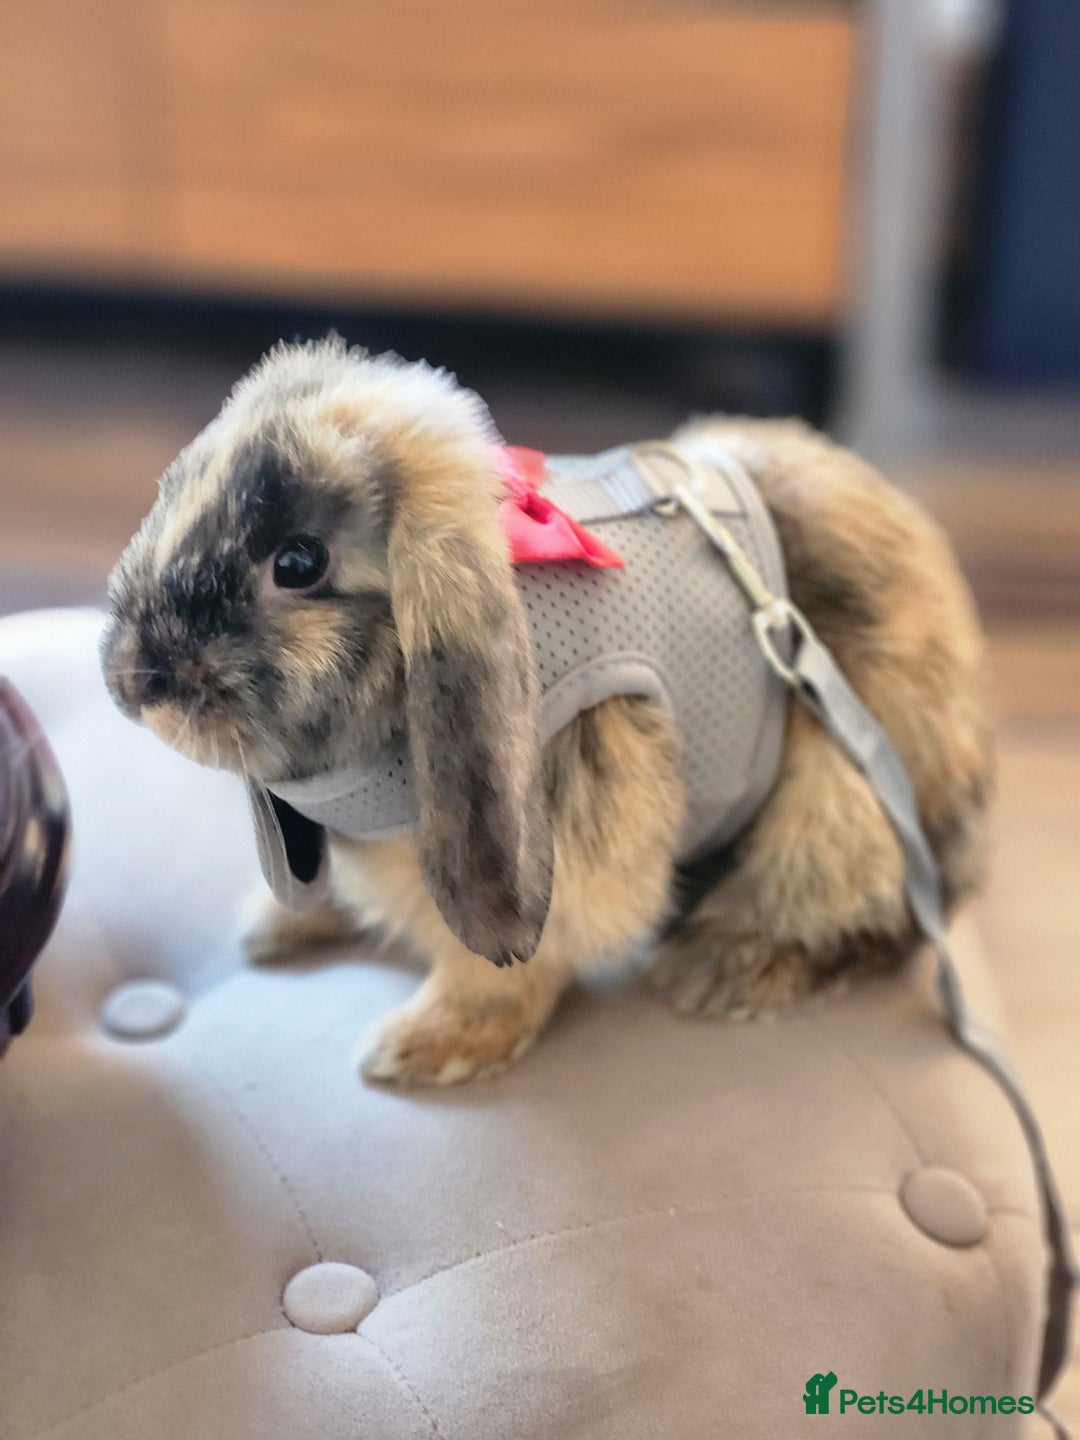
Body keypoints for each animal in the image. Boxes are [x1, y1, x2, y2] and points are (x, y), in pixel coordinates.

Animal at [101, 337, 993, 1085]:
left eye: (297, 562)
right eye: (173, 495)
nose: (132, 681)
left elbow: (506, 968)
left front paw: (423, 1048)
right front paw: (281, 927)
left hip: (837, 803)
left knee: (871, 925)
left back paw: (722, 971)